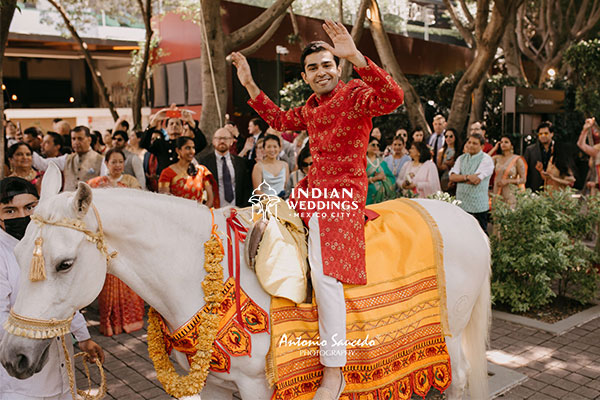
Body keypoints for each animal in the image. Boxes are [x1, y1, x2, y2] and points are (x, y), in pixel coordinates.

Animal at [0, 164, 490, 398]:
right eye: (19, 256)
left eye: (64, 264)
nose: (14, 357)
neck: (194, 273)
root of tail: (465, 218)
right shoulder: (214, 386)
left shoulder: (256, 386)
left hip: (448, 331)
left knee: (461, 380)